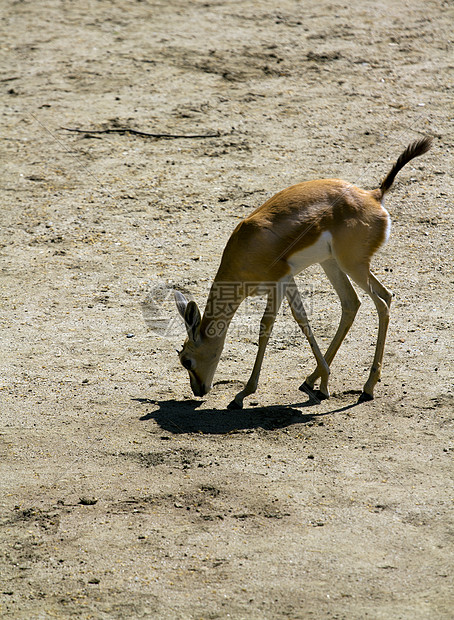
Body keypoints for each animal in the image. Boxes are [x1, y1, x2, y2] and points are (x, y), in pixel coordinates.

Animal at [175, 136, 432, 410]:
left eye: (186, 360)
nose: (198, 391)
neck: (246, 248)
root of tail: (374, 196)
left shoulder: (278, 282)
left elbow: (266, 326)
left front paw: (242, 395)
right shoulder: (288, 280)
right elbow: (302, 319)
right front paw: (323, 384)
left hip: (352, 265)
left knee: (381, 302)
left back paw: (367, 388)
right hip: (334, 264)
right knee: (356, 301)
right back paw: (312, 381)